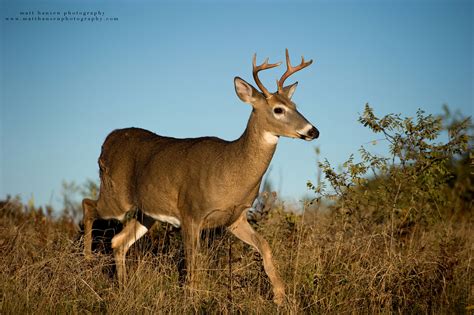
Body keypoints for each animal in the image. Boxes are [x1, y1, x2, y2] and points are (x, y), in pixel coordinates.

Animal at [82, 49, 318, 306]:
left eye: (295, 104)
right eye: (278, 109)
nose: (313, 131)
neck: (231, 169)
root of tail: (107, 141)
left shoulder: (235, 217)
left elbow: (264, 246)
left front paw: (280, 296)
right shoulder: (191, 213)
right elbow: (193, 262)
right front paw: (192, 299)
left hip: (147, 213)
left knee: (118, 241)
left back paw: (124, 286)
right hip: (116, 196)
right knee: (88, 206)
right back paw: (86, 261)